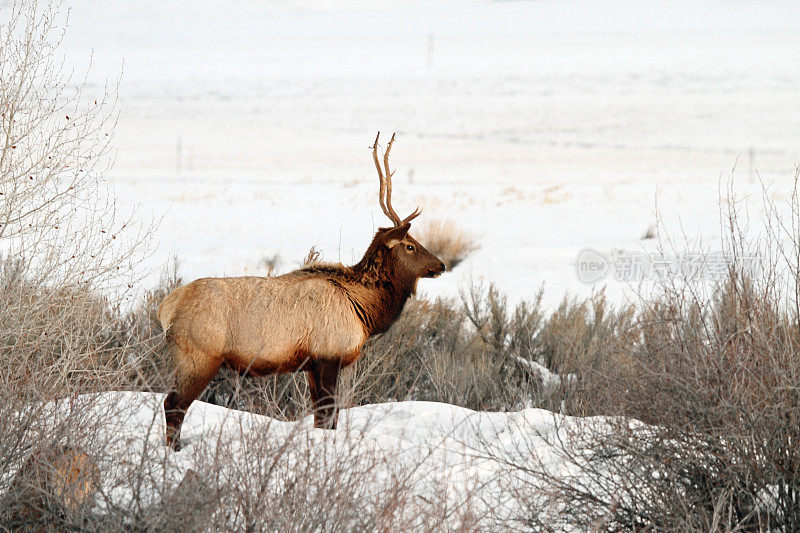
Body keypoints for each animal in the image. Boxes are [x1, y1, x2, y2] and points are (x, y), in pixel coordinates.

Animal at [156, 133, 444, 448]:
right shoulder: (328, 356)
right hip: (197, 357)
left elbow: (321, 416)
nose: (441, 265)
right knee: (173, 404)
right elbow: (329, 415)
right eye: (410, 245)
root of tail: (166, 308)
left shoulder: (311, 365)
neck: (364, 310)